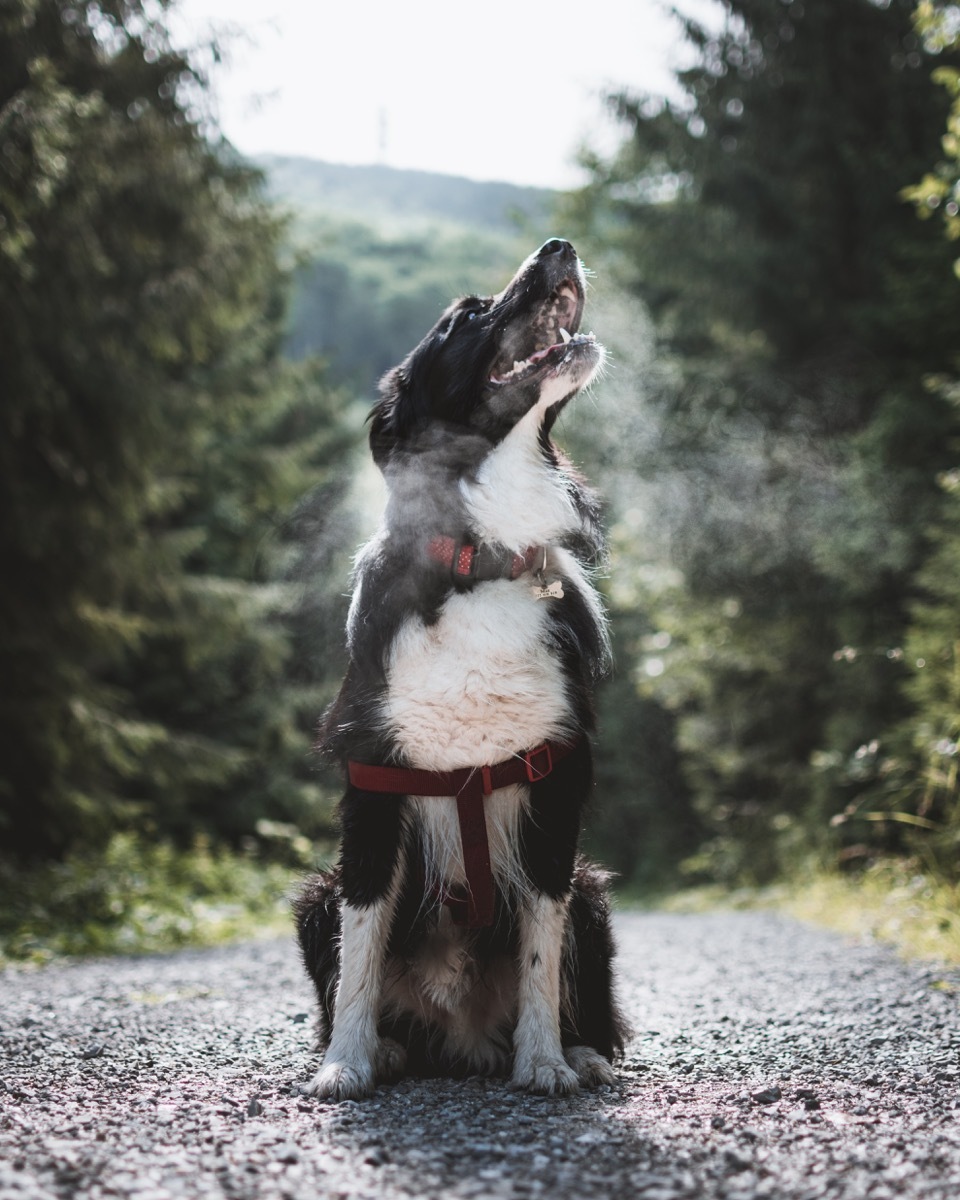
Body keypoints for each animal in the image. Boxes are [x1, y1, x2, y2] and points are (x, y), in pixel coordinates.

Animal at [300, 234, 628, 1099]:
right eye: (467, 318)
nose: (561, 245)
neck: (482, 560)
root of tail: (462, 1037)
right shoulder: (373, 790)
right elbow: (359, 956)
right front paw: (345, 1064)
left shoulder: (555, 791)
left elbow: (542, 957)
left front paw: (544, 1063)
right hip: (314, 896)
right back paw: (387, 1050)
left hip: (593, 895)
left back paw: (579, 1054)